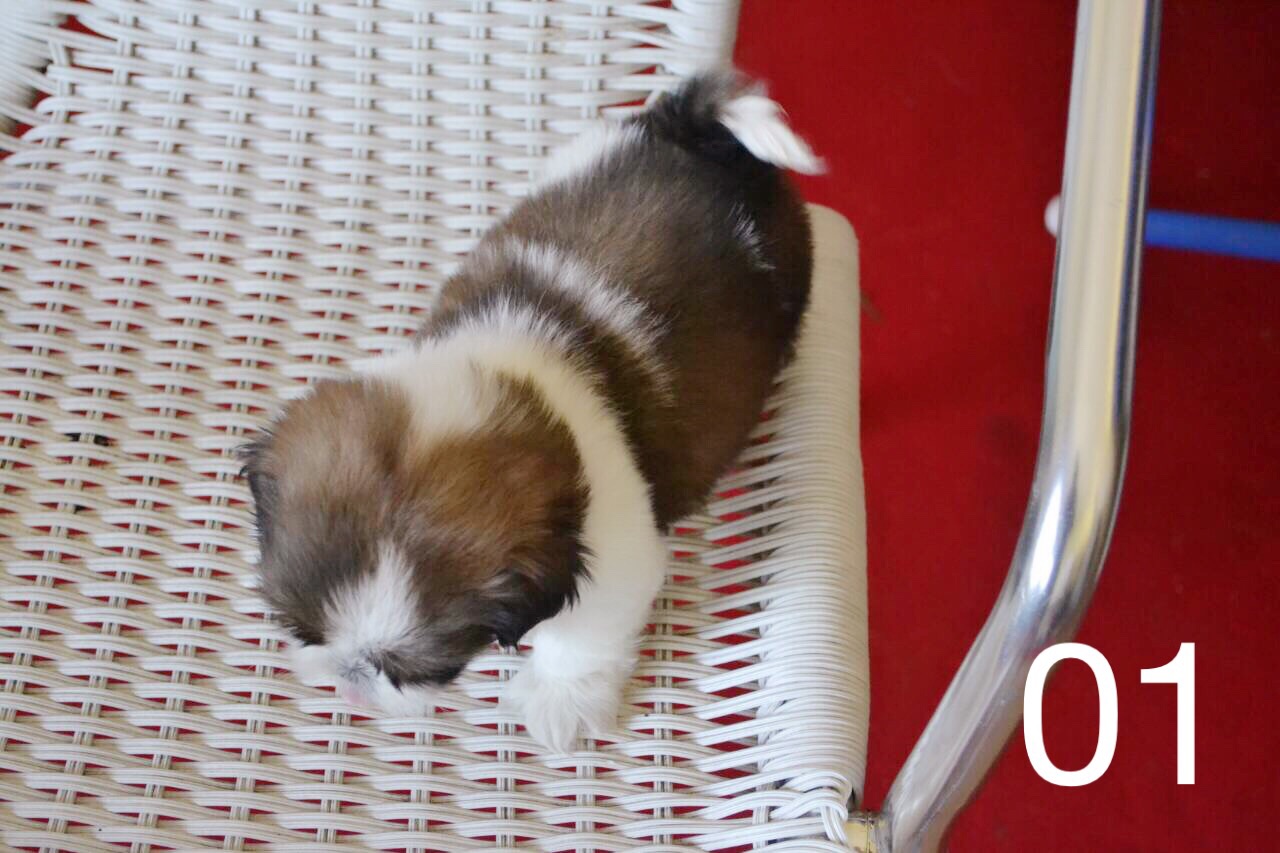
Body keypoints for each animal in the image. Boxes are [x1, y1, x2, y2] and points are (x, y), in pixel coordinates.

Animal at [241, 69, 821, 751]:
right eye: (302, 631)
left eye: (419, 670)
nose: (349, 677)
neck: (521, 369)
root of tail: (695, 134)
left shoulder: (611, 552)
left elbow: (585, 636)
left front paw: (559, 699)